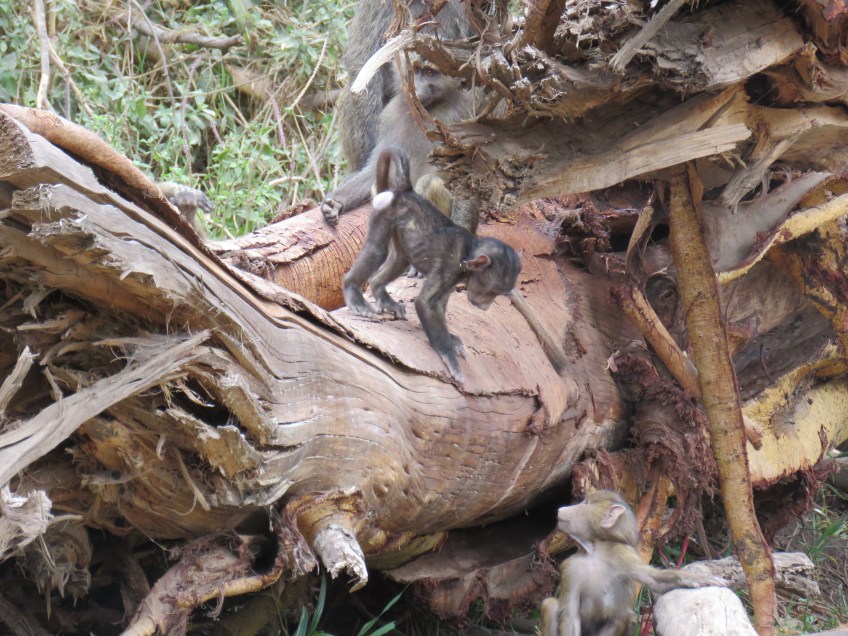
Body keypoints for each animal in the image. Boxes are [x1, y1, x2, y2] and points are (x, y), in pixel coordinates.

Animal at [322, 60, 473, 226]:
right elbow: (375, 169)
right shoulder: (390, 116)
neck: (424, 111)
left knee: (428, 183)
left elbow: (467, 169)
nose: (415, 91)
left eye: (429, 73)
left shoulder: (460, 115)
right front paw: (335, 203)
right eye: (414, 70)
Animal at [343, 145, 520, 381]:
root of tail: (406, 192)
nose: (486, 306)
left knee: (399, 259)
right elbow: (425, 303)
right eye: (493, 291)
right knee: (377, 251)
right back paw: (353, 290)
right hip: (384, 213)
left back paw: (380, 291)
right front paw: (447, 351)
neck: (468, 251)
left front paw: (451, 338)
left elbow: (441, 303)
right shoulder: (450, 267)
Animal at [540, 490, 725, 636]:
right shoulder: (571, 569)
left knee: (621, 617)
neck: (595, 552)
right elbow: (570, 616)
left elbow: (653, 580)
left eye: (585, 503)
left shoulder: (623, 555)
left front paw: (695, 579)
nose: (561, 509)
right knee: (551, 605)